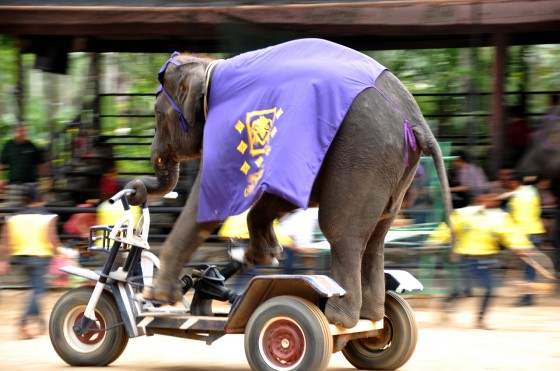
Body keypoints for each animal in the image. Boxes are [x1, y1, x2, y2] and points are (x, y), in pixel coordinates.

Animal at [124, 38, 452, 328]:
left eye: (157, 116)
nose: (136, 191)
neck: (210, 67)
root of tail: (417, 121)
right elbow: (279, 195)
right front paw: (264, 255)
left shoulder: (231, 128)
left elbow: (213, 198)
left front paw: (158, 295)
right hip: (396, 167)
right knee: (377, 236)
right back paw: (371, 316)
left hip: (365, 154)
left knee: (340, 228)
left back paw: (337, 317)